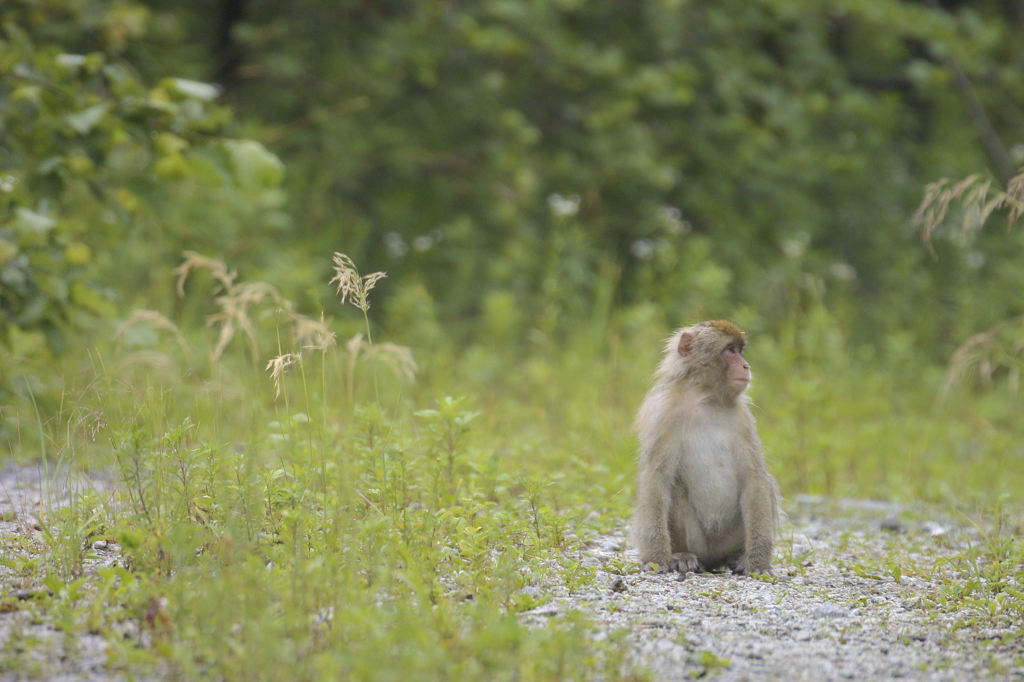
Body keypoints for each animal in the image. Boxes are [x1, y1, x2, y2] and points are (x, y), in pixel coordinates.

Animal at [626, 319, 778, 573]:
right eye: (730, 350)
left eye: (740, 350)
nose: (746, 366)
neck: (706, 398)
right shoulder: (664, 414)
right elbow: (656, 478)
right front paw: (657, 558)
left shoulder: (743, 419)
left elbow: (754, 478)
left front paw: (757, 561)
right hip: (698, 542)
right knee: (674, 488)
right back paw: (682, 555)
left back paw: (737, 556)